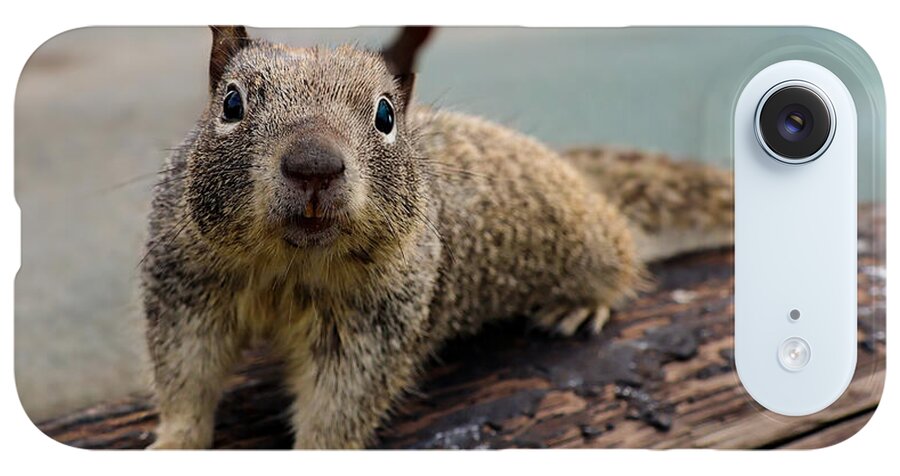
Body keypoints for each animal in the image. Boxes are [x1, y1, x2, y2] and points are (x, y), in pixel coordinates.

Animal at [142, 26, 733, 449]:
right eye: (231, 104)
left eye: (385, 114)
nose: (314, 165)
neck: (291, 265)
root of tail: (576, 174)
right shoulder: (187, 286)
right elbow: (186, 376)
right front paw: (173, 443)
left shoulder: (375, 322)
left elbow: (340, 404)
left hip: (587, 241)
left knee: (621, 253)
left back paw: (583, 303)